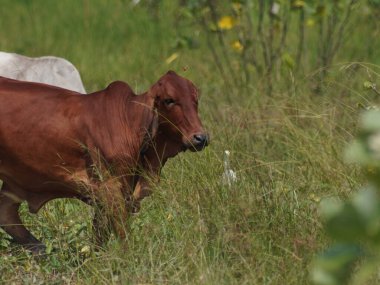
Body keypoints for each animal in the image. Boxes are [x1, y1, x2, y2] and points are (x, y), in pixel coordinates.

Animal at [0, 71, 208, 253]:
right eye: (169, 100)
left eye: (196, 100)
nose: (200, 137)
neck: (130, 120)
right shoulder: (110, 187)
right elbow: (122, 231)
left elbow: (100, 234)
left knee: (6, 214)